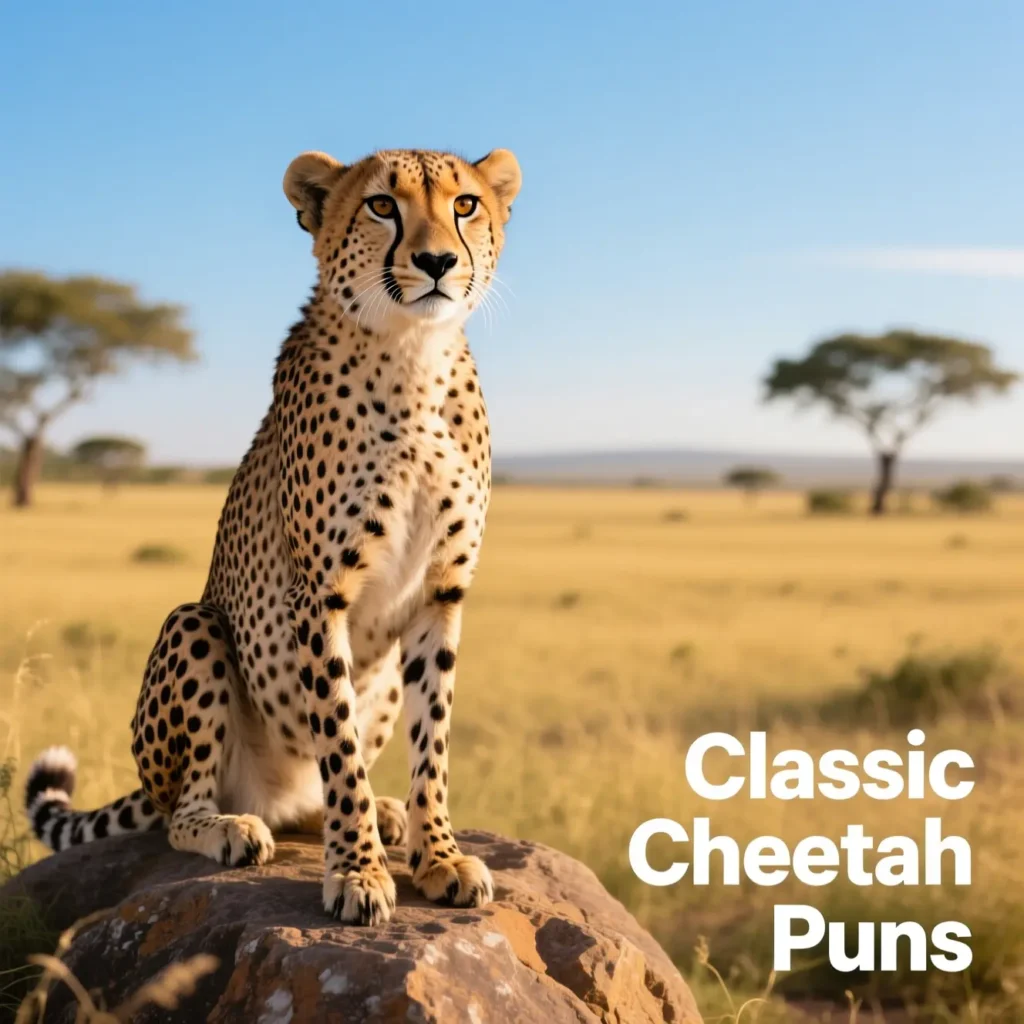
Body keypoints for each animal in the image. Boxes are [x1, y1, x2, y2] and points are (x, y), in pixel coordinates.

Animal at [24, 146, 522, 925]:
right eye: (383, 205)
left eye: (464, 205)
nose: (438, 260)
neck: (413, 353)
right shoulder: (318, 594)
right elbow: (338, 741)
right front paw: (357, 873)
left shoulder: (442, 593)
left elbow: (431, 743)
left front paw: (437, 855)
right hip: (194, 625)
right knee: (182, 812)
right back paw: (231, 827)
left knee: (317, 791)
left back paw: (380, 816)